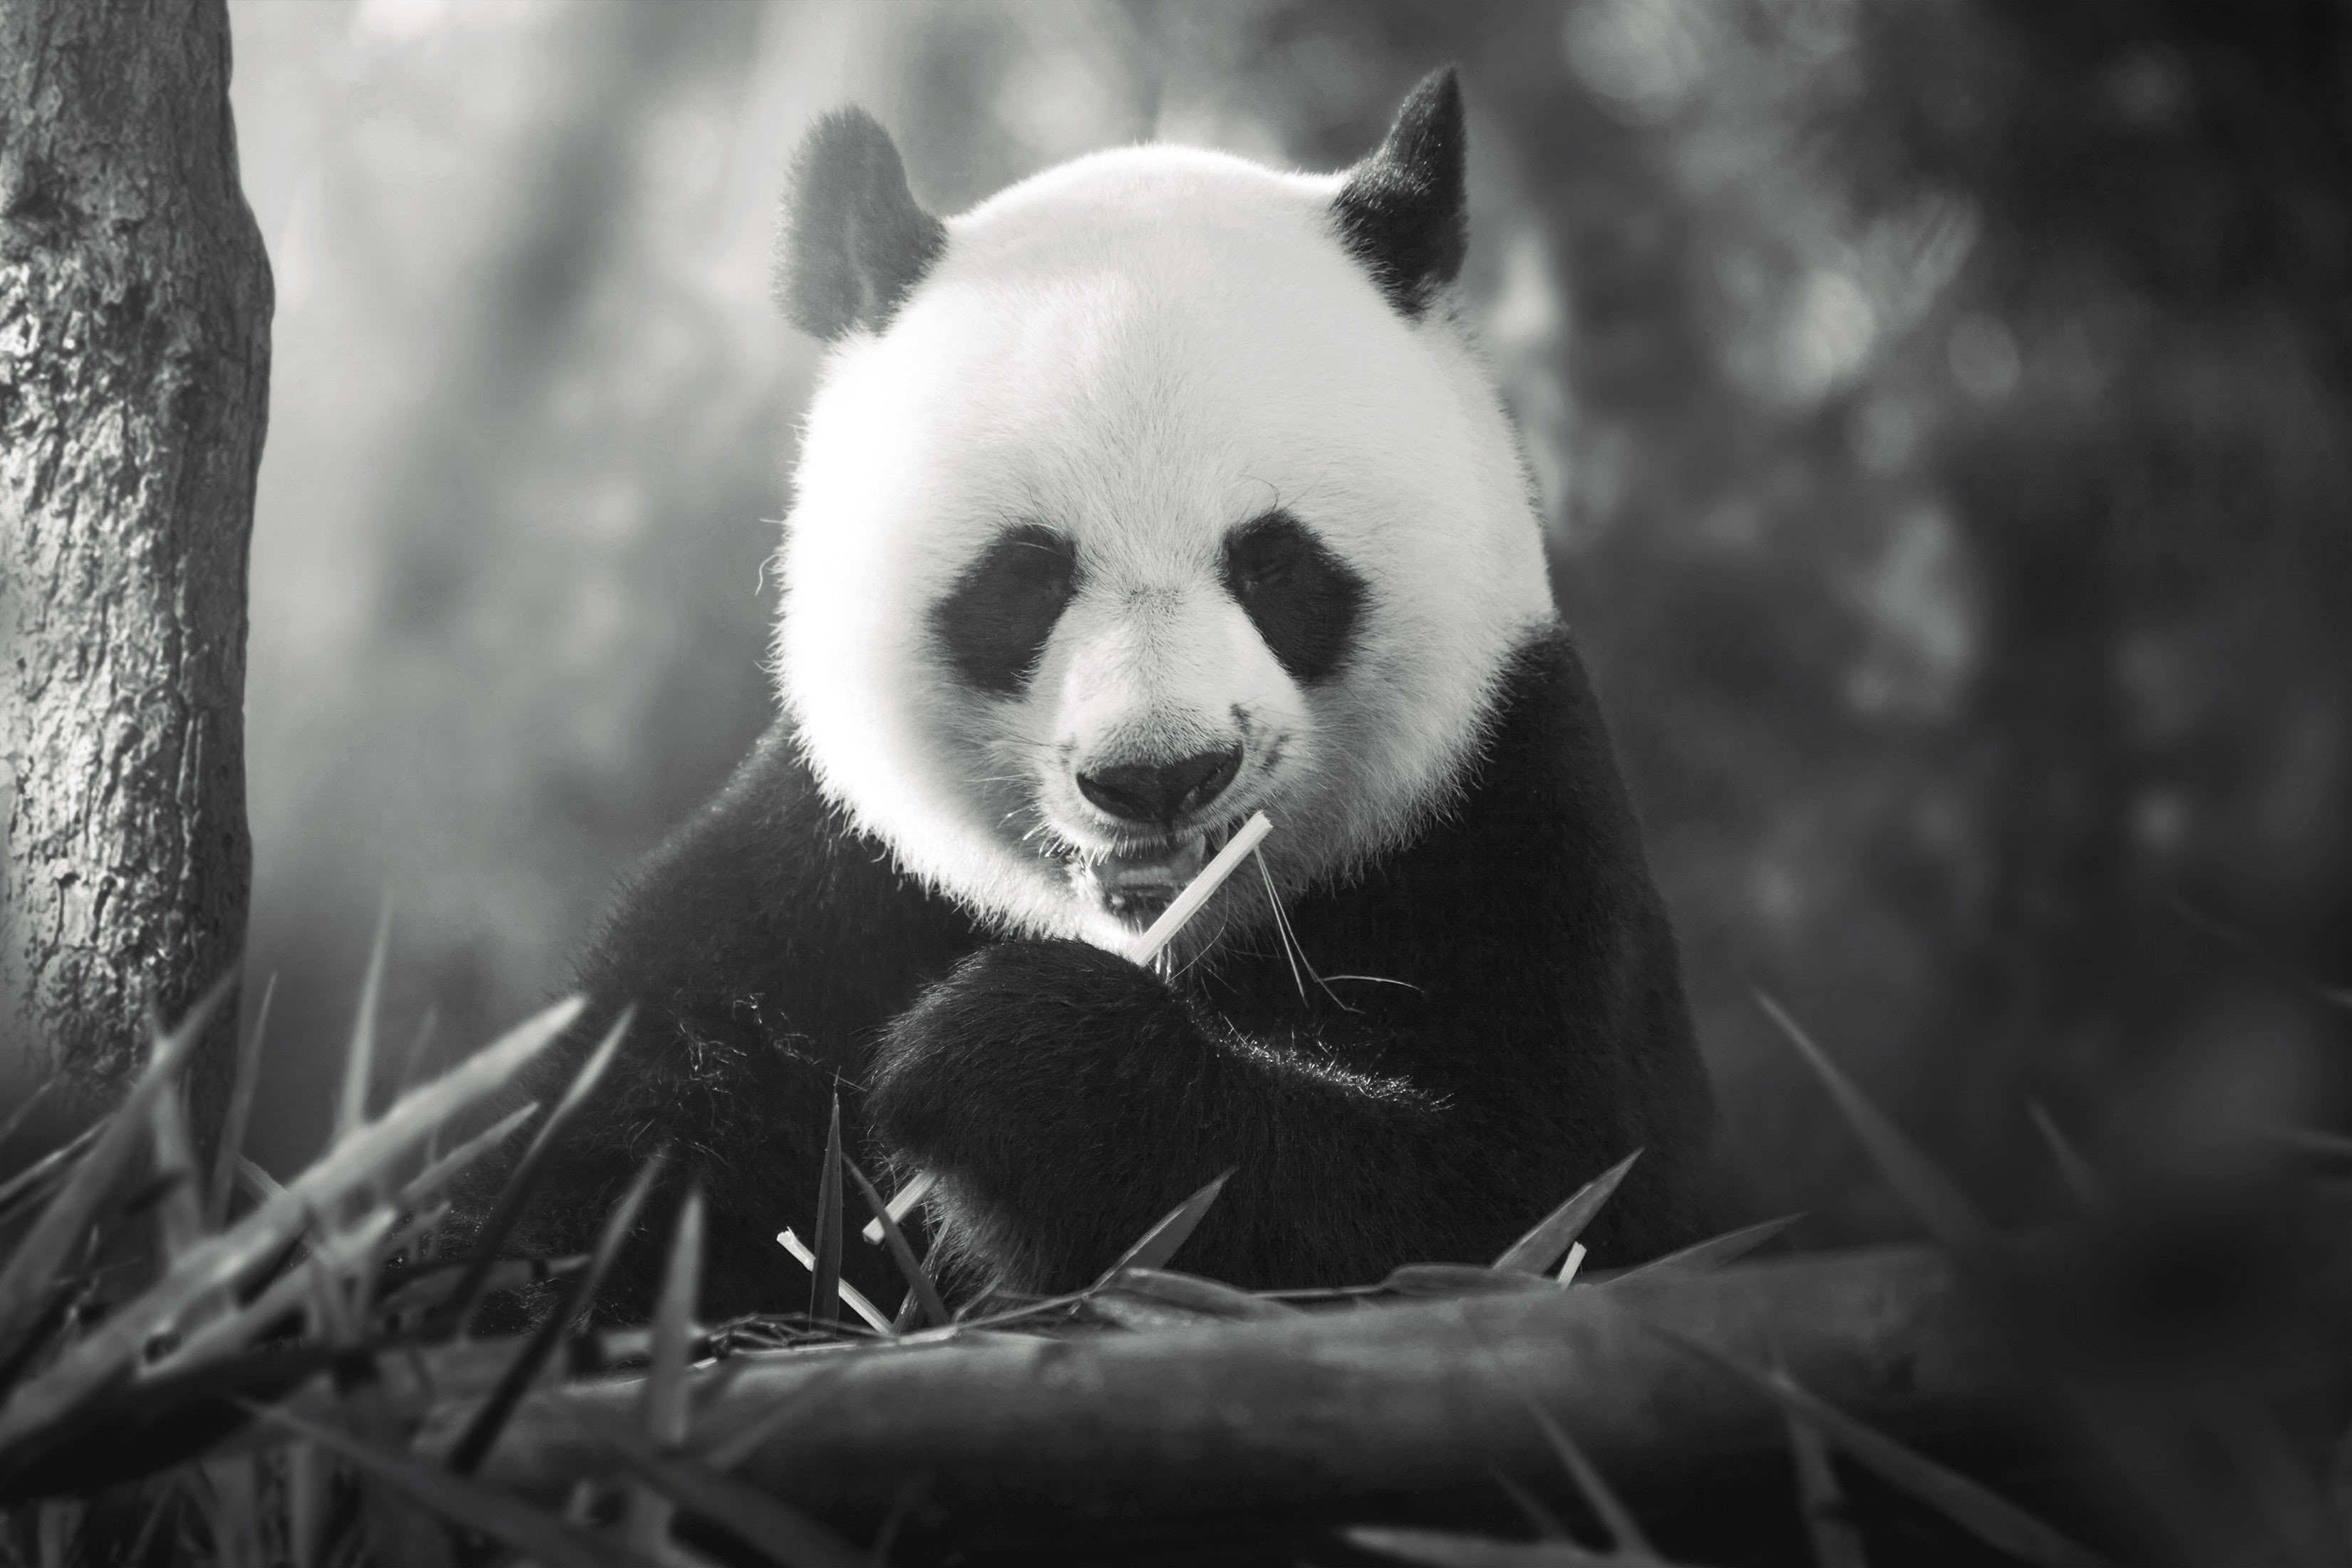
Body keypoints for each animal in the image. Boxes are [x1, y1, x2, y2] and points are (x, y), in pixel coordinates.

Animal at [503, 68, 1729, 1320]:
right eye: (1026, 575)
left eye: (1273, 563)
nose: (1160, 776)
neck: (1167, 945)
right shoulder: (825, 887)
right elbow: (609, 1139)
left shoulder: (1507, 827)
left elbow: (1521, 1206)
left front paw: (997, 1059)